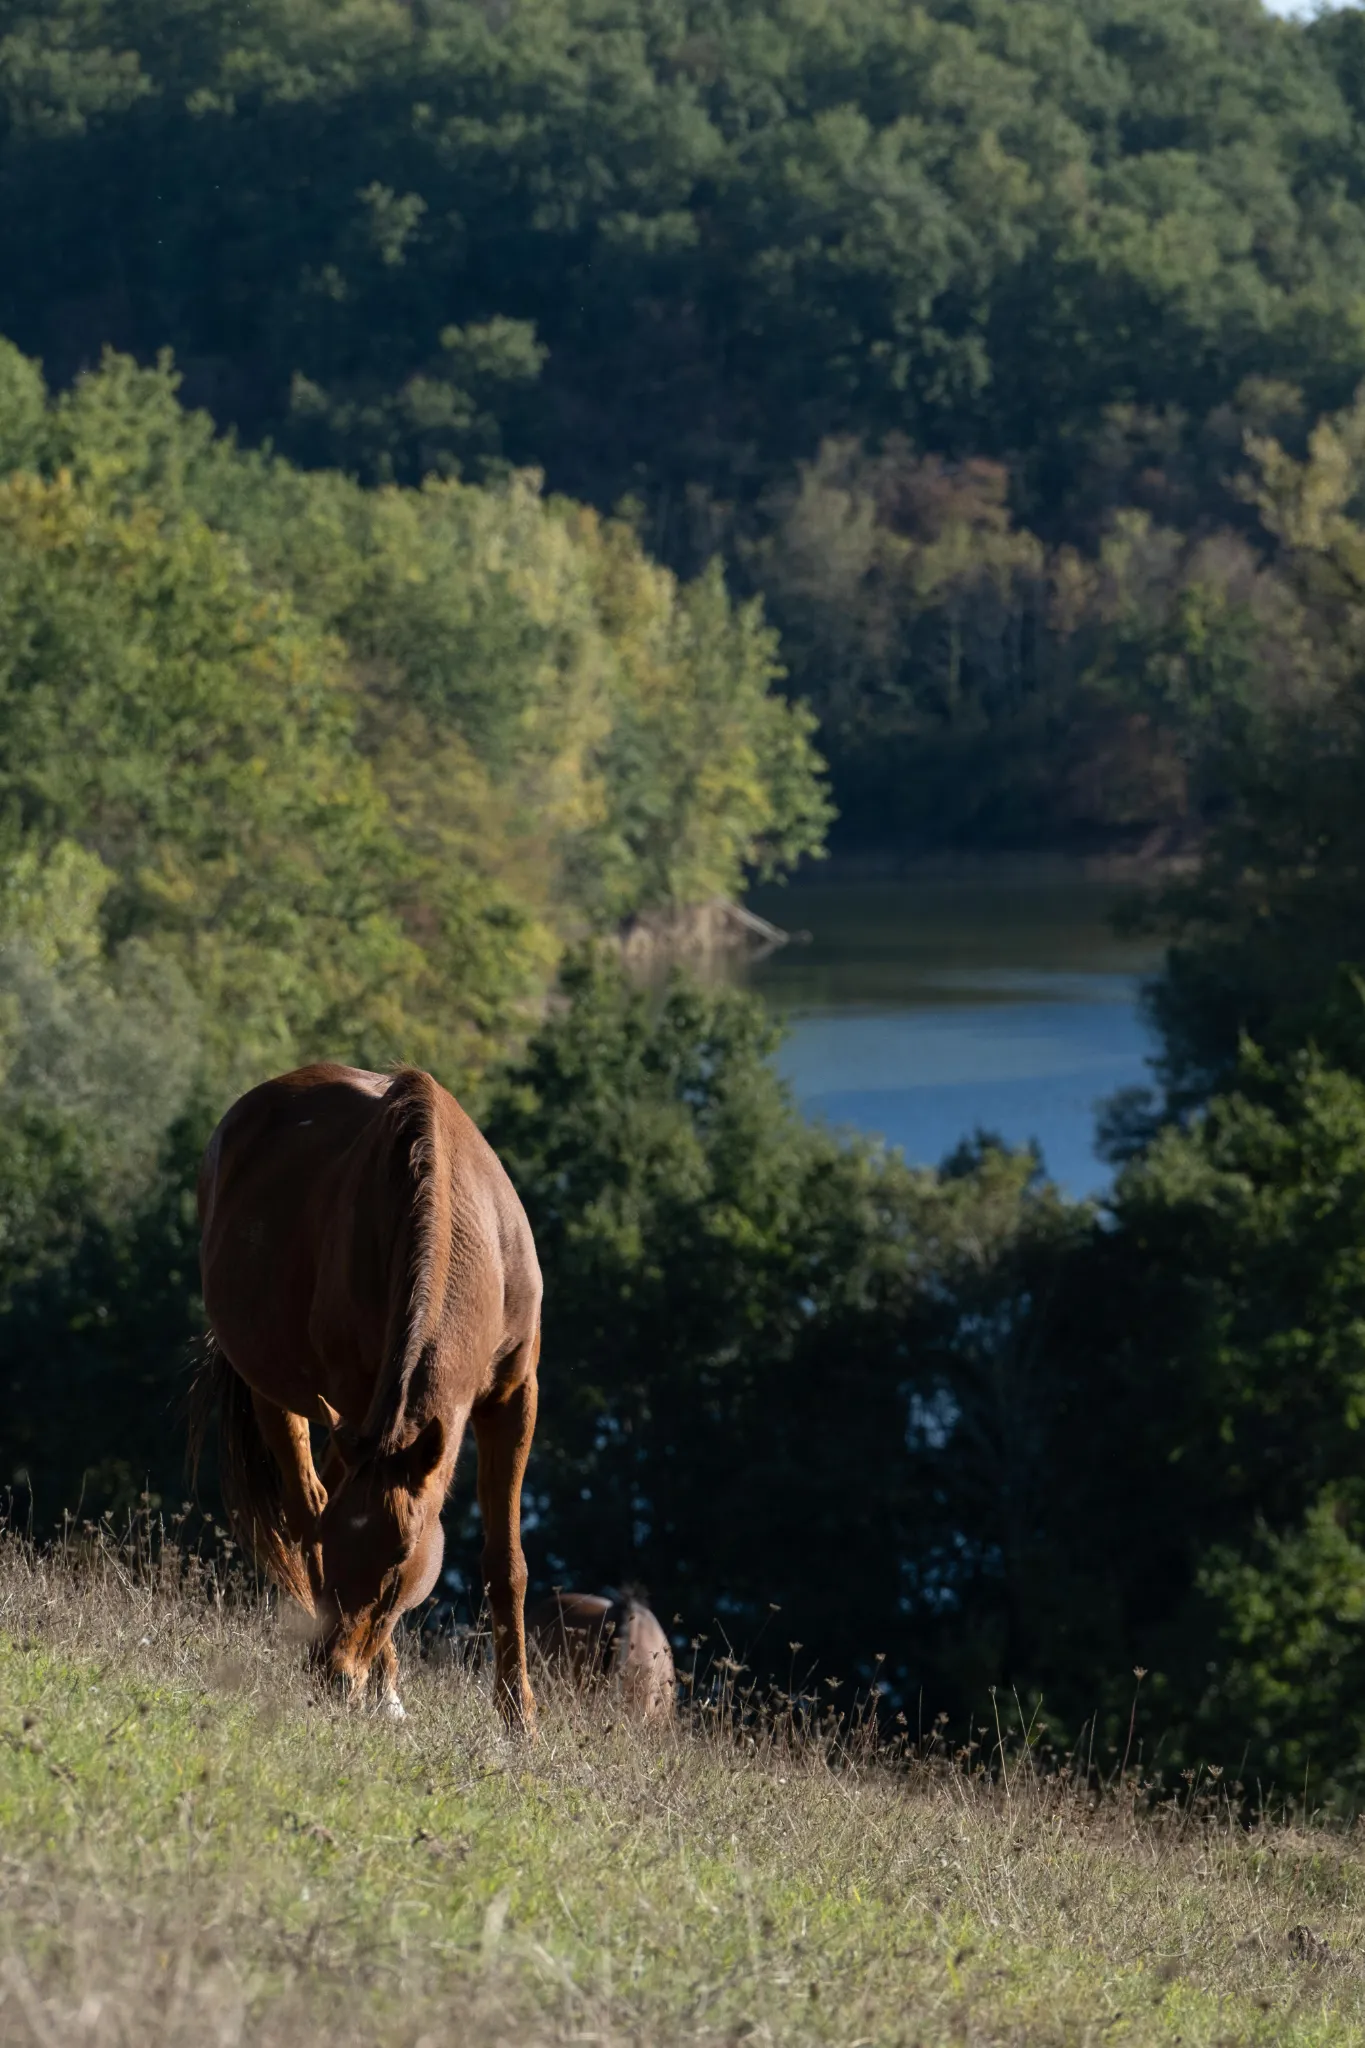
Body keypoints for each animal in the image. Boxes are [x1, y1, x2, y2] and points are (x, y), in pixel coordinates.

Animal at [190, 1062, 542, 1727]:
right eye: (338, 1549)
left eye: (401, 1559)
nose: (333, 1674)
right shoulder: (356, 1399)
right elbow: (319, 1515)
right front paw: (383, 1688)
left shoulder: (513, 1397)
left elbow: (505, 1562)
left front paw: (521, 1721)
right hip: (278, 1395)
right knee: (305, 1498)